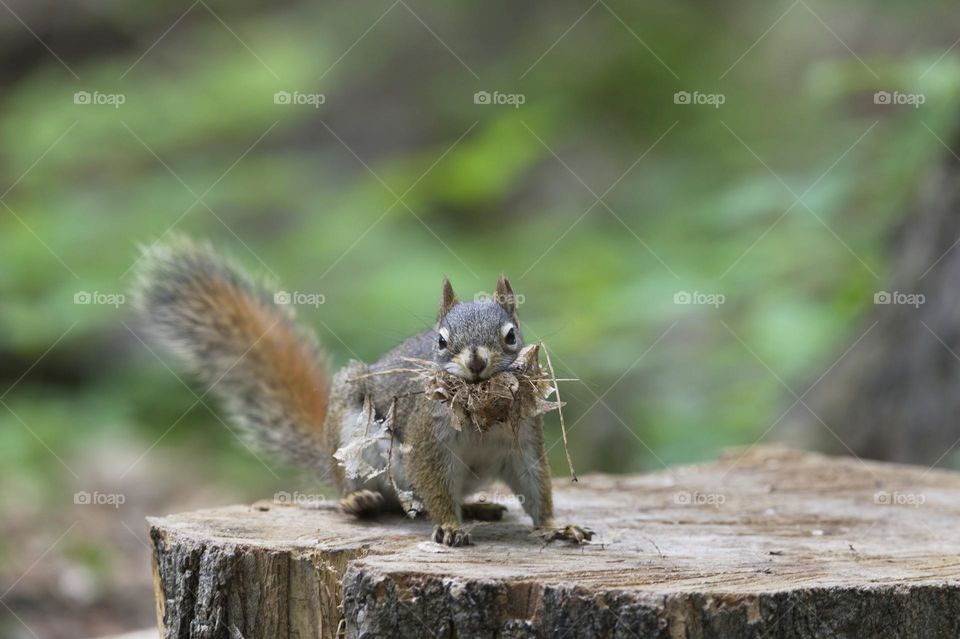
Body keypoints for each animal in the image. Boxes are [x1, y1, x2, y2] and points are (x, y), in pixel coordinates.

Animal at [132, 238, 588, 548]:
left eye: (511, 336)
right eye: (441, 341)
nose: (476, 361)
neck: (481, 410)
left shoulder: (522, 443)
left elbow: (536, 485)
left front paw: (555, 526)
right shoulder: (427, 440)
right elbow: (433, 481)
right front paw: (450, 526)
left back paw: (476, 507)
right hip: (356, 439)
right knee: (373, 495)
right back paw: (359, 500)